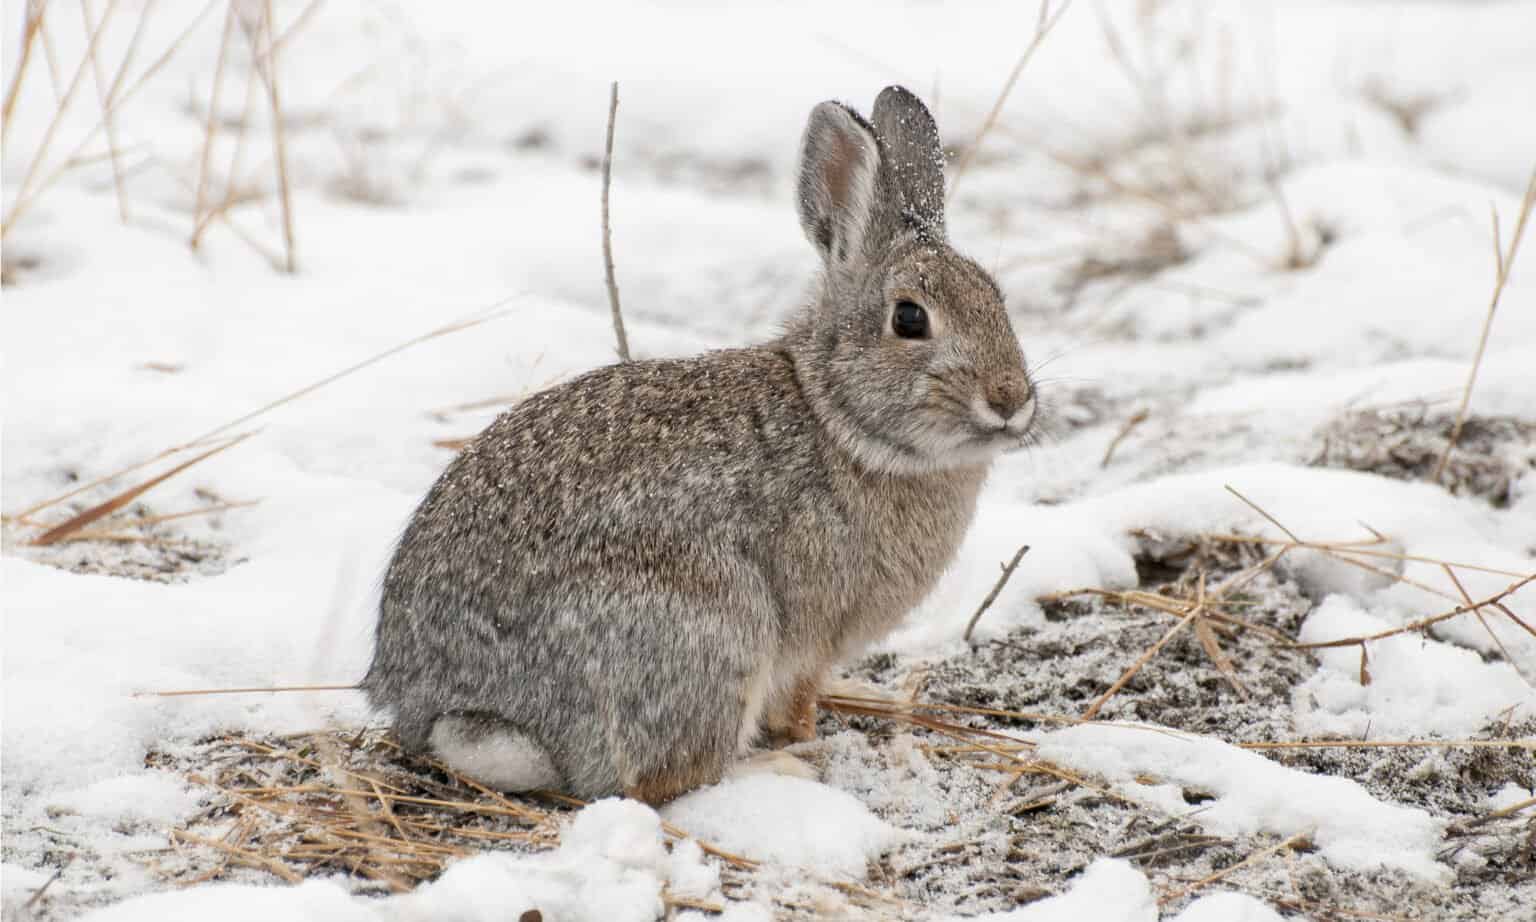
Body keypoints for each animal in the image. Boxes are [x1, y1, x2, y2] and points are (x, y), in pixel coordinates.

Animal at [360, 88, 1038, 805]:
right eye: (910, 319)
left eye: (997, 299)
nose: (1011, 398)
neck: (836, 416)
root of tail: (450, 707)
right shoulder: (809, 638)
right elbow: (794, 702)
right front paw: (806, 737)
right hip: (711, 632)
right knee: (664, 778)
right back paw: (783, 769)